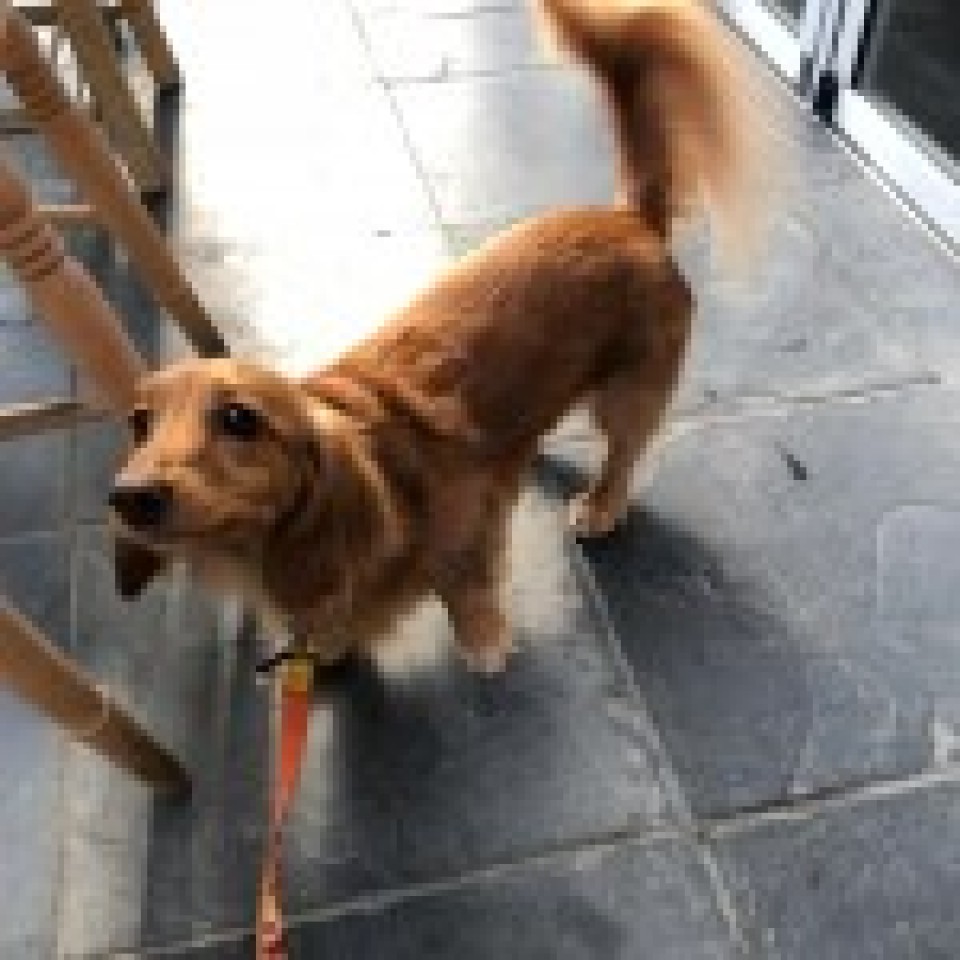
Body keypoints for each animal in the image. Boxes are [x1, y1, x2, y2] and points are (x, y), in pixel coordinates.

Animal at [110, 0, 776, 672]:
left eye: (239, 419)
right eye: (139, 423)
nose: (129, 497)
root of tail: (629, 218)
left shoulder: (468, 529)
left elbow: (464, 588)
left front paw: (483, 641)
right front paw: (331, 644)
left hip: (627, 396)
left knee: (622, 454)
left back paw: (600, 505)